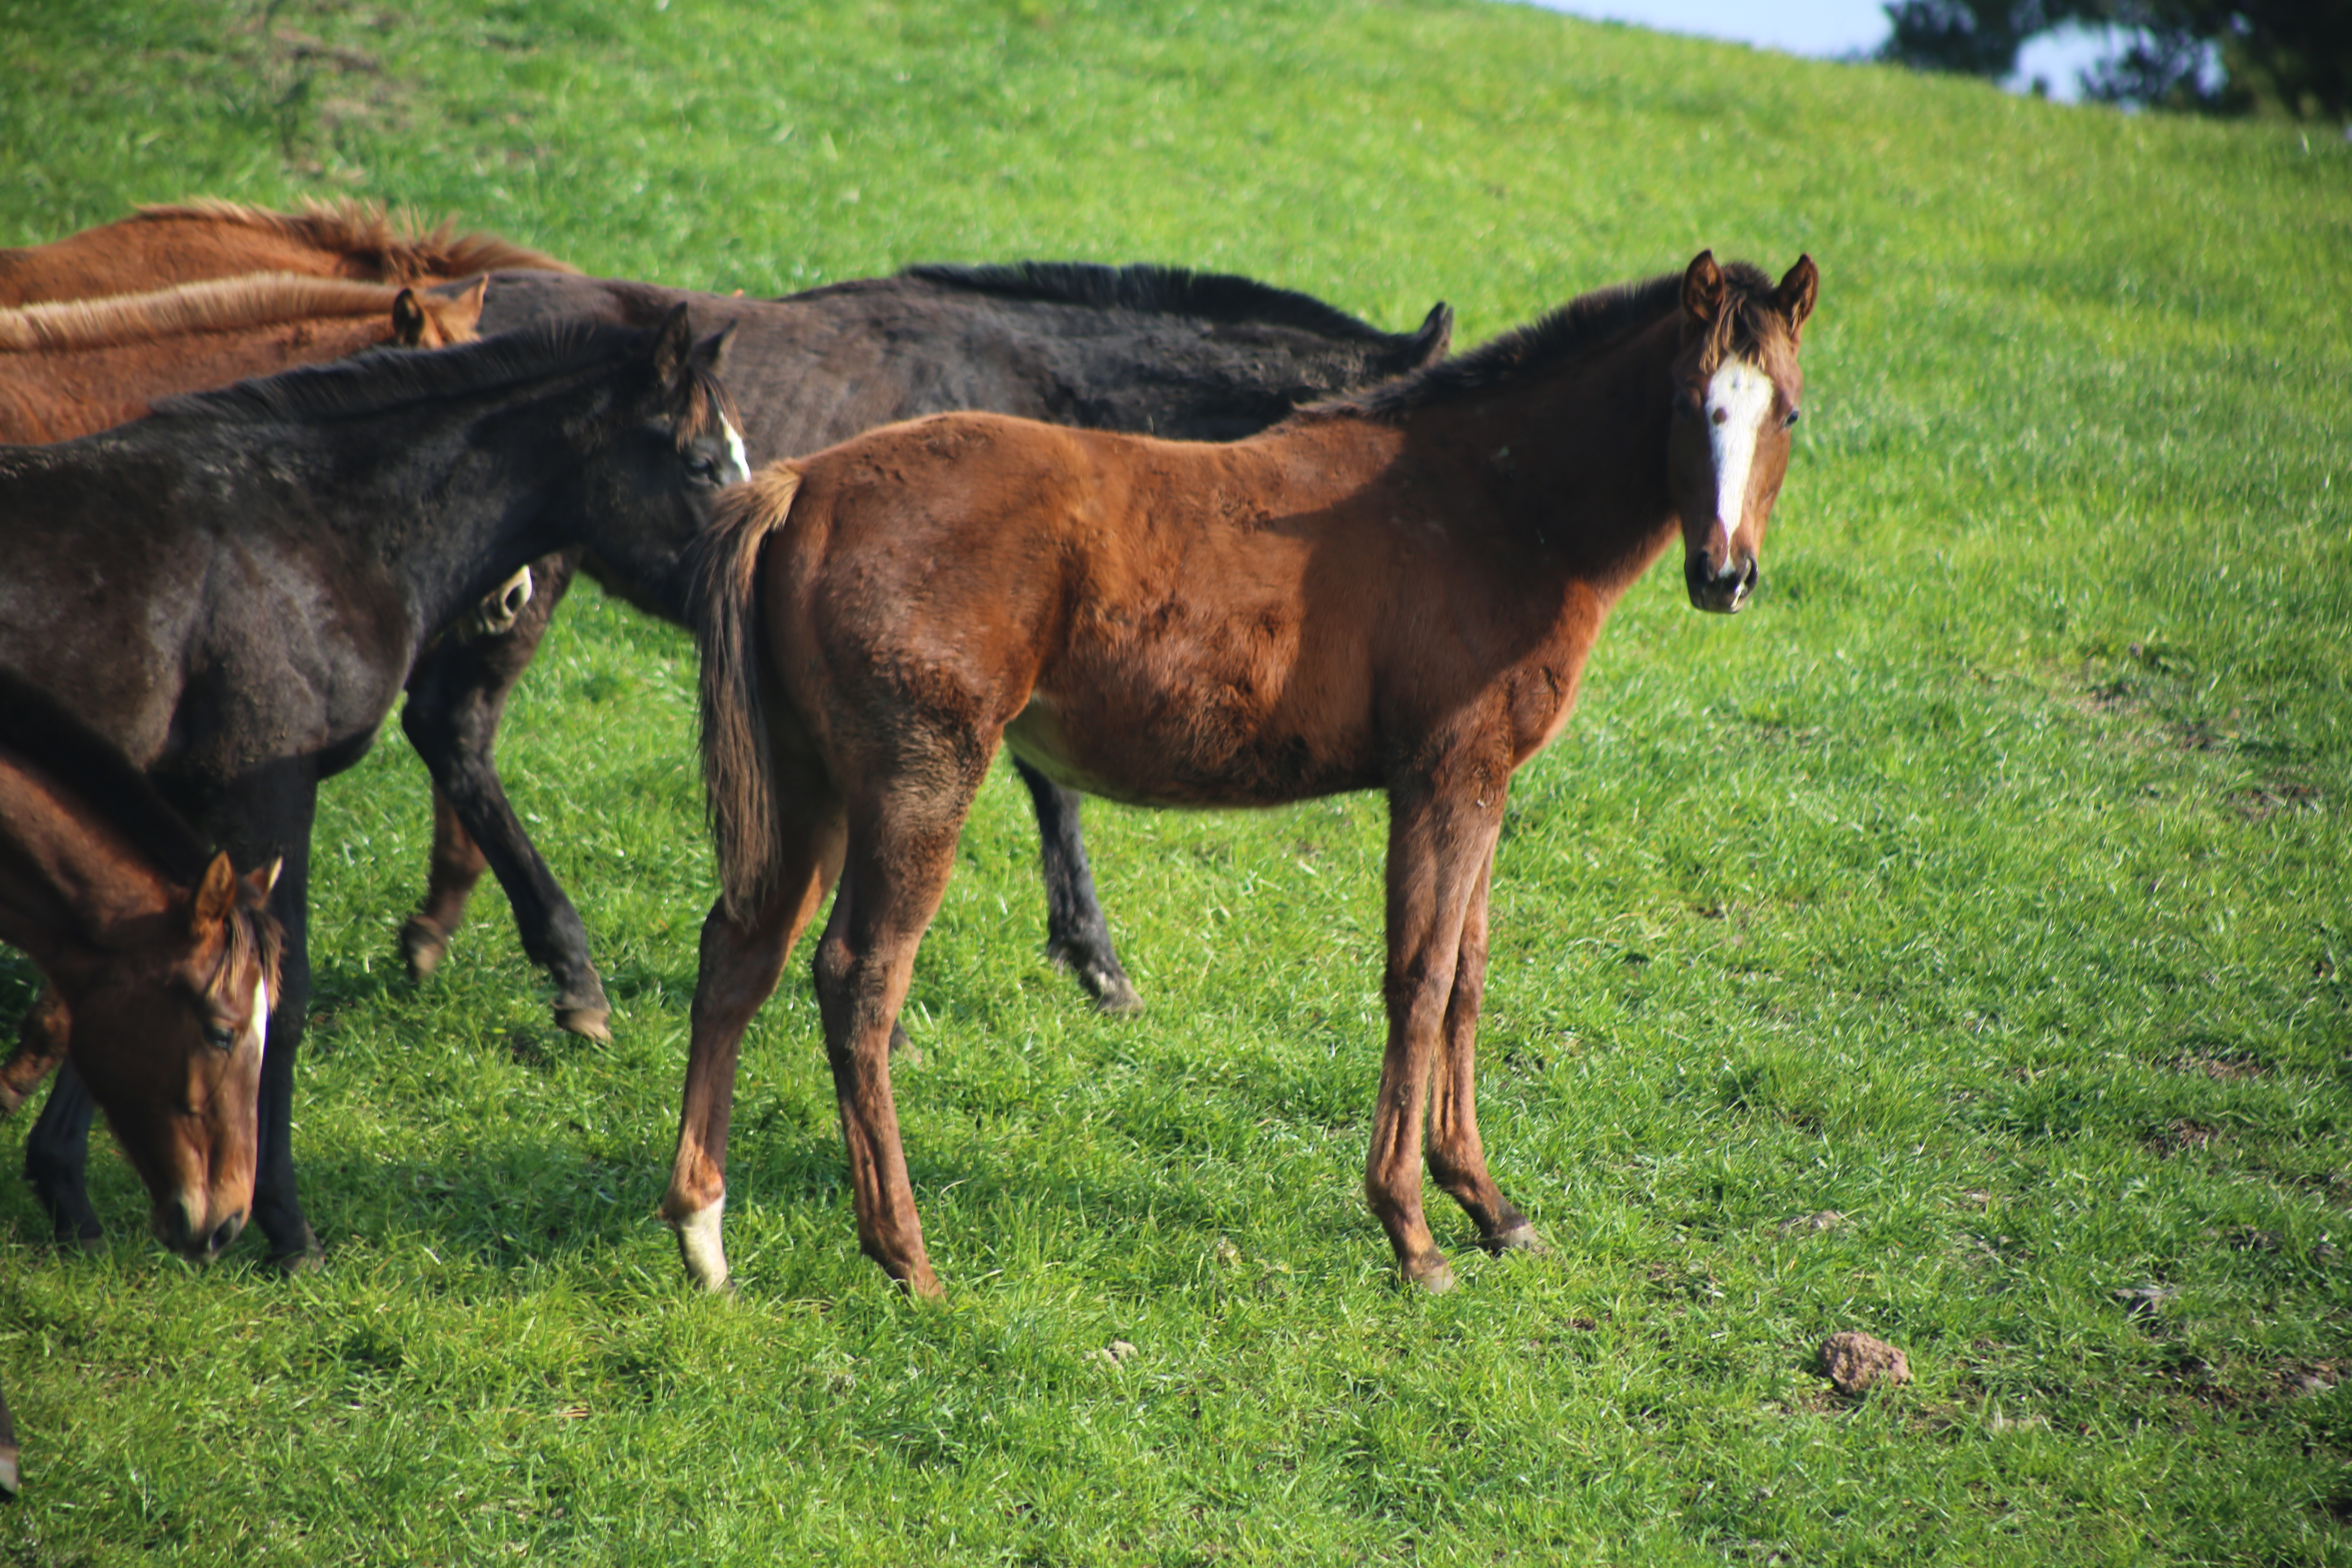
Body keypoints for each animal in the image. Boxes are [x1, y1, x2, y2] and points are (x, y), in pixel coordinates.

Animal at [2, 312, 743, 1269]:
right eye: (701, 462)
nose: (760, 569)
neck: (313, 531)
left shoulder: (181, 801)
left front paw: (68, 1185)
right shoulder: (269, 790)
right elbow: (280, 986)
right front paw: (285, 1226)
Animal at [682, 252, 1815, 1297]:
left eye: (1790, 411)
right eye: (1687, 401)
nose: (1724, 575)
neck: (1494, 501)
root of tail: (801, 489)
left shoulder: (1488, 782)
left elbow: (1467, 979)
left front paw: (1493, 1209)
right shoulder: (1442, 779)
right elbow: (1418, 980)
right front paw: (1414, 1234)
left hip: (815, 791)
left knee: (739, 953)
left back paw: (702, 1236)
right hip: (916, 786)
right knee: (859, 979)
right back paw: (907, 1257)